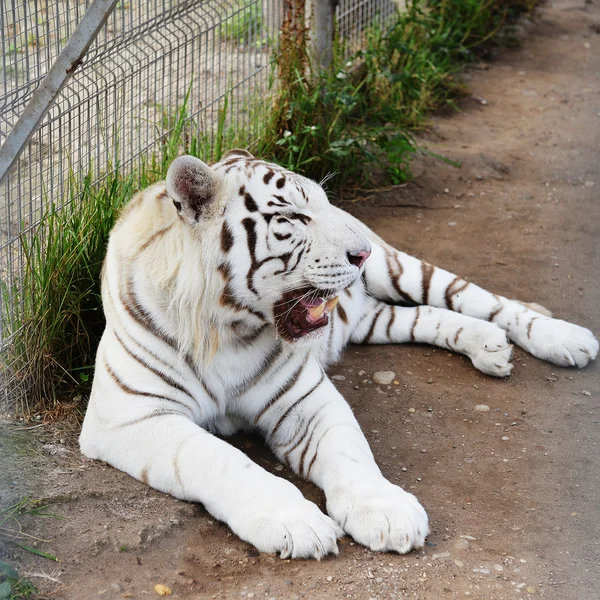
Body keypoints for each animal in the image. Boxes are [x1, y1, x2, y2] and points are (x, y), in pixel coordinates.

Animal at [78, 151, 596, 556]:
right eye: (292, 218)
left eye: (324, 206)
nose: (360, 254)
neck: (227, 329)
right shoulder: (131, 415)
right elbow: (218, 458)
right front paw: (297, 524)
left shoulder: (303, 398)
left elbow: (349, 452)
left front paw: (387, 514)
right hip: (371, 318)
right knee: (422, 315)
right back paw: (487, 345)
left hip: (401, 269)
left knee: (478, 297)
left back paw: (565, 338)